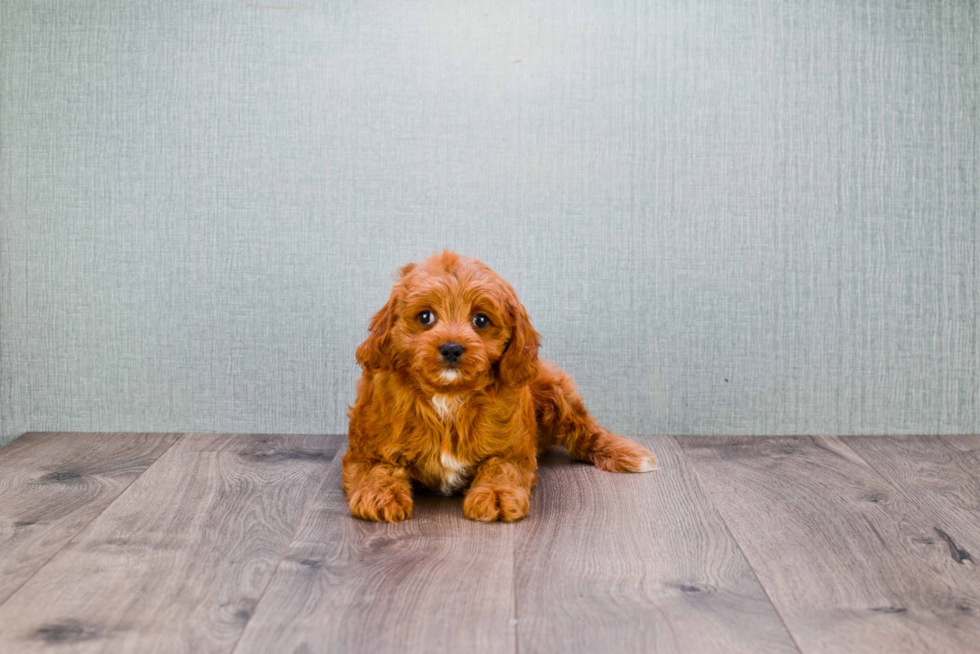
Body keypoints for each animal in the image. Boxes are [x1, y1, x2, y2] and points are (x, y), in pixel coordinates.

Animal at [344, 249, 660, 524]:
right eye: (425, 317)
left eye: (481, 320)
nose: (451, 348)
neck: (448, 396)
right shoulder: (367, 450)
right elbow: (378, 469)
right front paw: (380, 496)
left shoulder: (512, 451)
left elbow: (500, 468)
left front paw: (496, 496)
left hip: (554, 392)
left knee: (585, 430)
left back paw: (628, 454)